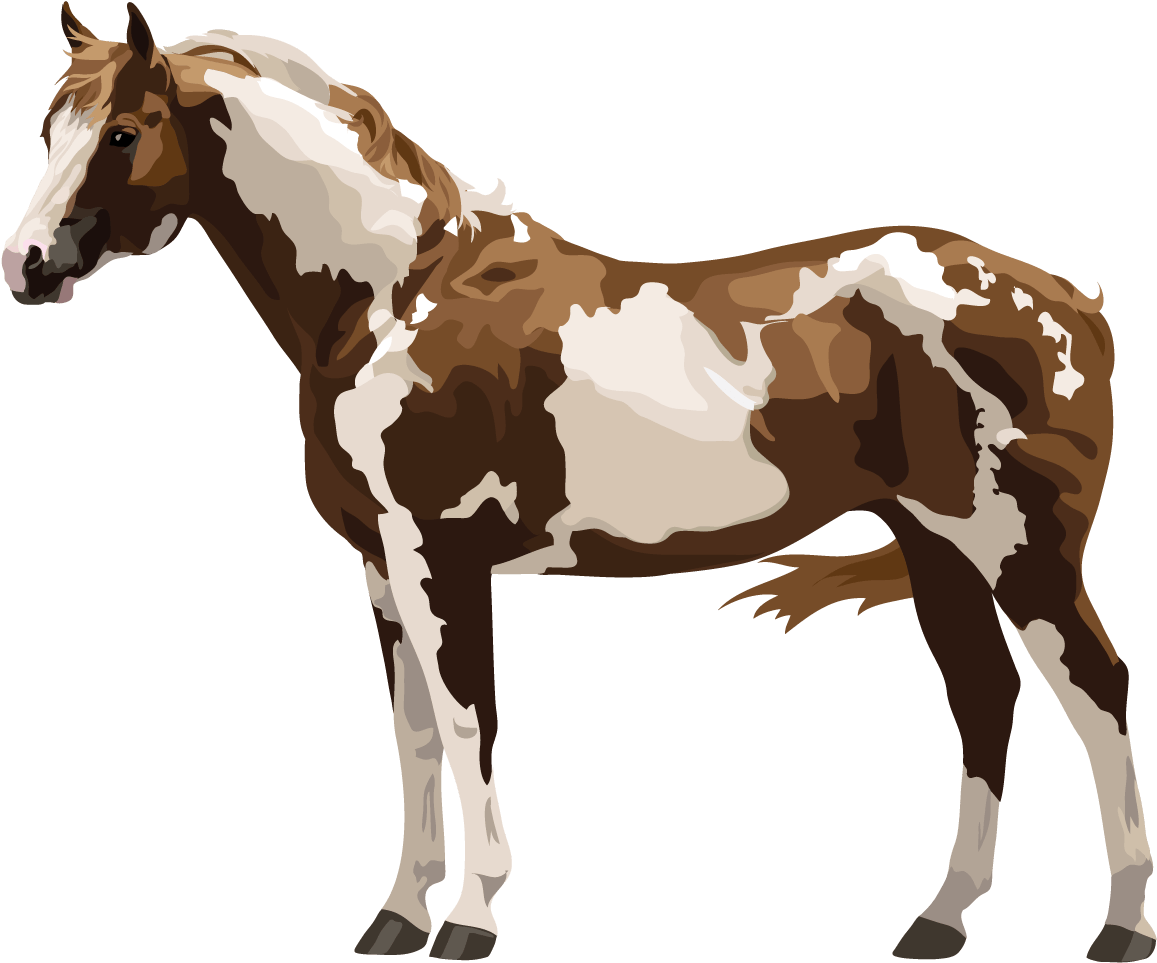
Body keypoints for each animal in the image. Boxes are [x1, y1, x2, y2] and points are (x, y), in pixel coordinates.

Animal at [6, 5, 1151, 960]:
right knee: (984, 699)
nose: (23, 264)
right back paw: (941, 920)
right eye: (52, 134)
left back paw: (1124, 925)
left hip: (1019, 548)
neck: (391, 301)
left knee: (1094, 692)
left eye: (120, 134)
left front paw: (470, 917)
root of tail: (1067, 302)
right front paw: (397, 912)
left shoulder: (438, 555)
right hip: (936, 543)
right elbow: (411, 738)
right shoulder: (381, 569)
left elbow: (468, 725)